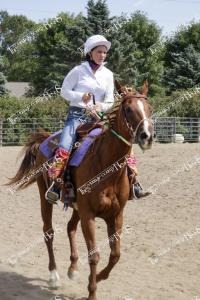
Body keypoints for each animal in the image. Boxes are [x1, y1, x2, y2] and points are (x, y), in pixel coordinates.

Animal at [8, 81, 153, 300]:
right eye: (128, 109)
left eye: (149, 108)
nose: (147, 136)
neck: (106, 166)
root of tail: (45, 139)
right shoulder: (89, 215)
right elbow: (94, 255)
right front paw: (92, 291)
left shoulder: (116, 215)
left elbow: (115, 254)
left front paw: (99, 277)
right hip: (45, 197)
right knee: (48, 232)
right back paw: (54, 276)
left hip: (76, 206)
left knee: (70, 227)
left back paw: (73, 269)